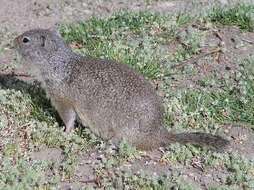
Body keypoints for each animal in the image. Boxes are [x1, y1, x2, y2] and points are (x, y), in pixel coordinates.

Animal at [12, 28, 229, 150]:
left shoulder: (62, 100)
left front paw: (64, 133)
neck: (59, 64)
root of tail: (159, 134)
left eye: (25, 40)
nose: (12, 40)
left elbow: (69, 120)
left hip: (123, 131)